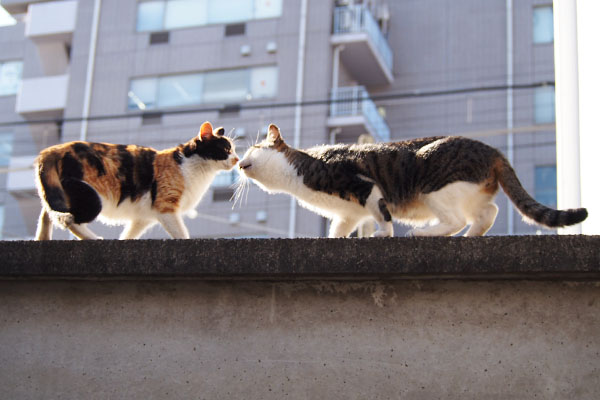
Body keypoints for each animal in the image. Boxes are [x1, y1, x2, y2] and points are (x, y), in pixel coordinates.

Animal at [34, 121, 238, 241]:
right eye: (226, 149)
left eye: (234, 150)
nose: (236, 159)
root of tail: (50, 151)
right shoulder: (165, 207)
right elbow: (181, 233)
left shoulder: (144, 217)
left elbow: (129, 234)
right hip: (90, 197)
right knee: (67, 219)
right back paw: (92, 237)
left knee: (48, 213)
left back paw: (42, 238)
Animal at [238, 124, 584, 238]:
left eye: (253, 149)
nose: (239, 164)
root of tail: (494, 151)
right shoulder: (348, 213)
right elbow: (339, 229)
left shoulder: (364, 186)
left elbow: (383, 215)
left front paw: (383, 233)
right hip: (470, 193)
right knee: (488, 213)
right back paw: (472, 236)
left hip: (434, 184)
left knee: (456, 220)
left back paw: (425, 232)